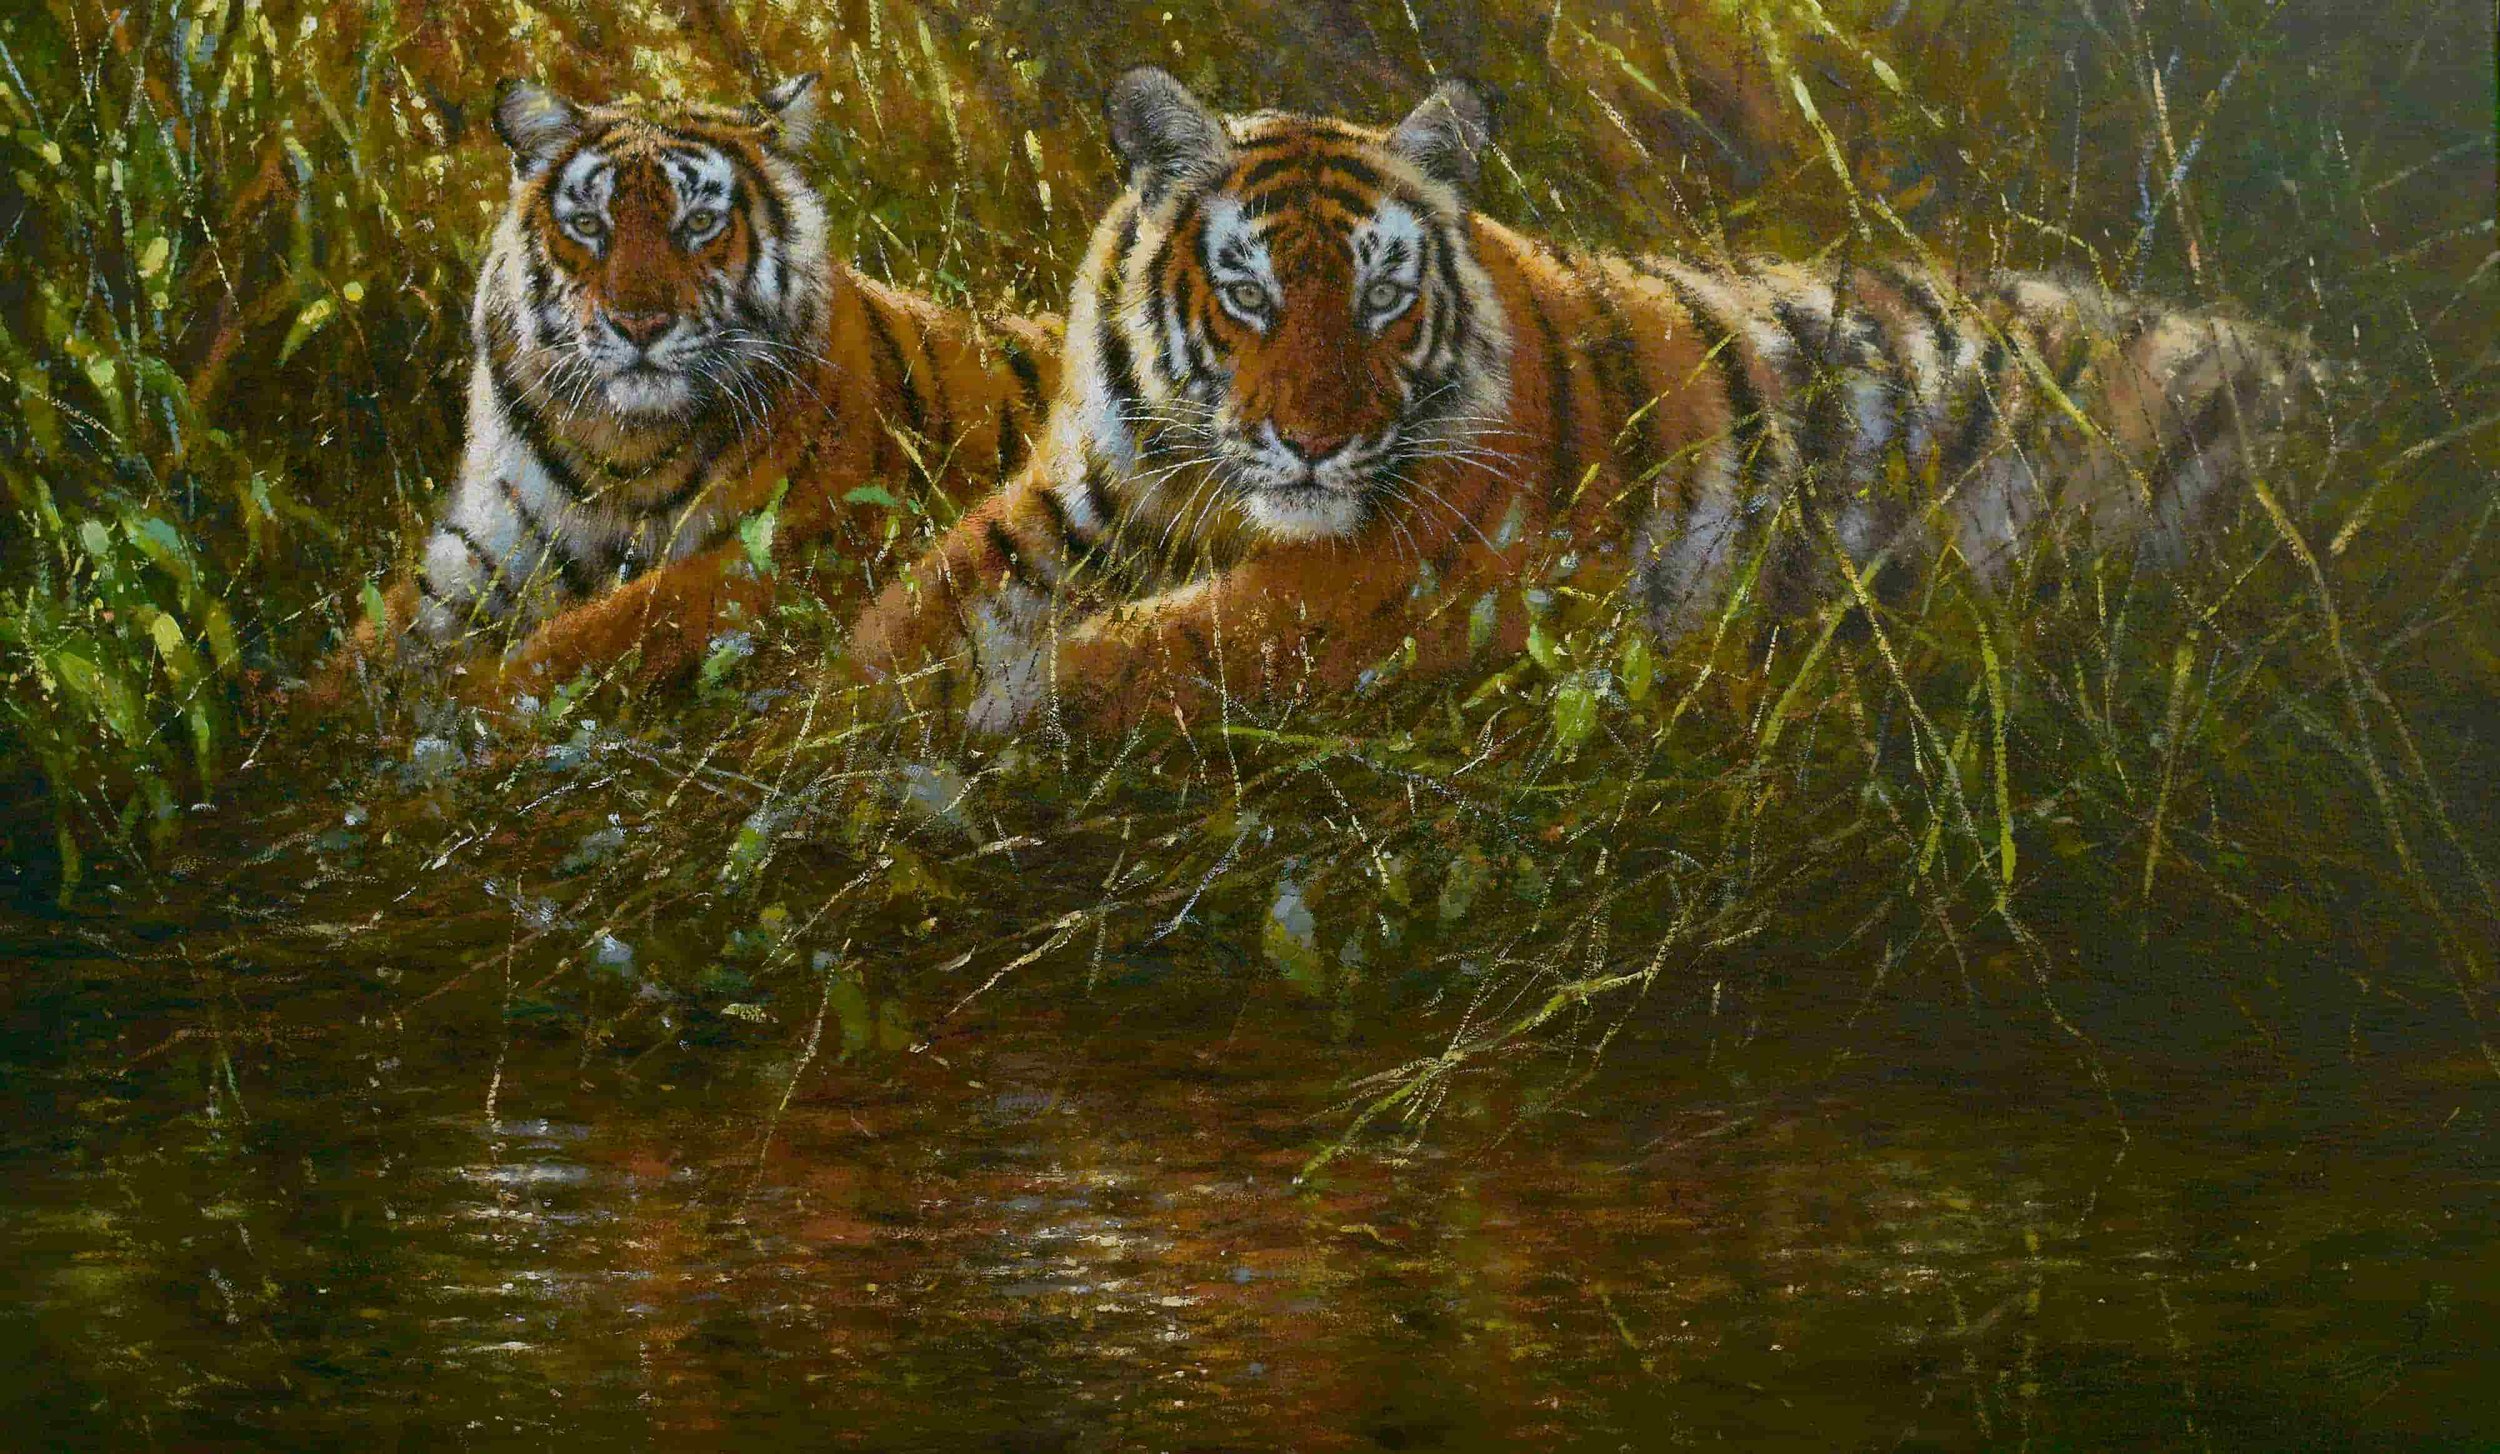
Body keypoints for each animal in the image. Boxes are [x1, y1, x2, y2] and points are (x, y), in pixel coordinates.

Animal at [331, 74, 1056, 708]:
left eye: (702, 221)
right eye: (589, 224)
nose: (639, 324)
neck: (621, 443)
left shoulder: (807, 538)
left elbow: (620, 622)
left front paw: (472, 709)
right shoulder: (482, 550)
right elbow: (372, 642)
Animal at [848, 68, 2323, 738]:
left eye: (1384, 297)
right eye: (1252, 294)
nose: (1317, 443)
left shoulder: (1395, 575)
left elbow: (1176, 638)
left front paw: (1010, 698)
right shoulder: (1074, 503)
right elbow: (917, 606)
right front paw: (830, 713)